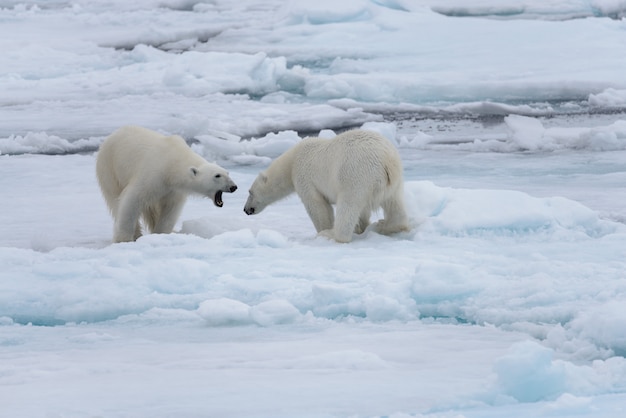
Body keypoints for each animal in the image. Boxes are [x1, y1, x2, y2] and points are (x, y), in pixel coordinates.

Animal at [96, 125, 238, 242]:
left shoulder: (173, 189)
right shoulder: (153, 173)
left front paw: (161, 234)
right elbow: (132, 200)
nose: (233, 187)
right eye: (217, 175)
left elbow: (170, 209)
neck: (172, 163)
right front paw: (123, 239)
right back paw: (136, 233)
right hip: (109, 168)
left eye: (227, 173)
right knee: (115, 198)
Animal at [241, 130, 408, 242]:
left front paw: (323, 230)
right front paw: (361, 228)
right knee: (395, 204)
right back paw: (387, 225)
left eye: (250, 192)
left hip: (356, 175)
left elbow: (318, 206)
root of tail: (387, 160)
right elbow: (363, 213)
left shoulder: (305, 177)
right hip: (393, 182)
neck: (292, 162)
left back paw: (333, 234)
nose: (245, 209)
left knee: (348, 205)